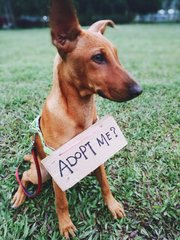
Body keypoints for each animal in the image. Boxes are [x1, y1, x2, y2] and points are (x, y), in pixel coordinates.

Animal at [11, 0, 143, 239]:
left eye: (116, 55)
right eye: (98, 58)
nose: (139, 90)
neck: (79, 111)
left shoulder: (97, 152)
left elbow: (105, 184)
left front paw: (112, 205)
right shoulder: (58, 168)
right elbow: (61, 201)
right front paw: (65, 225)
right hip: (42, 174)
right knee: (24, 176)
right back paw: (20, 195)